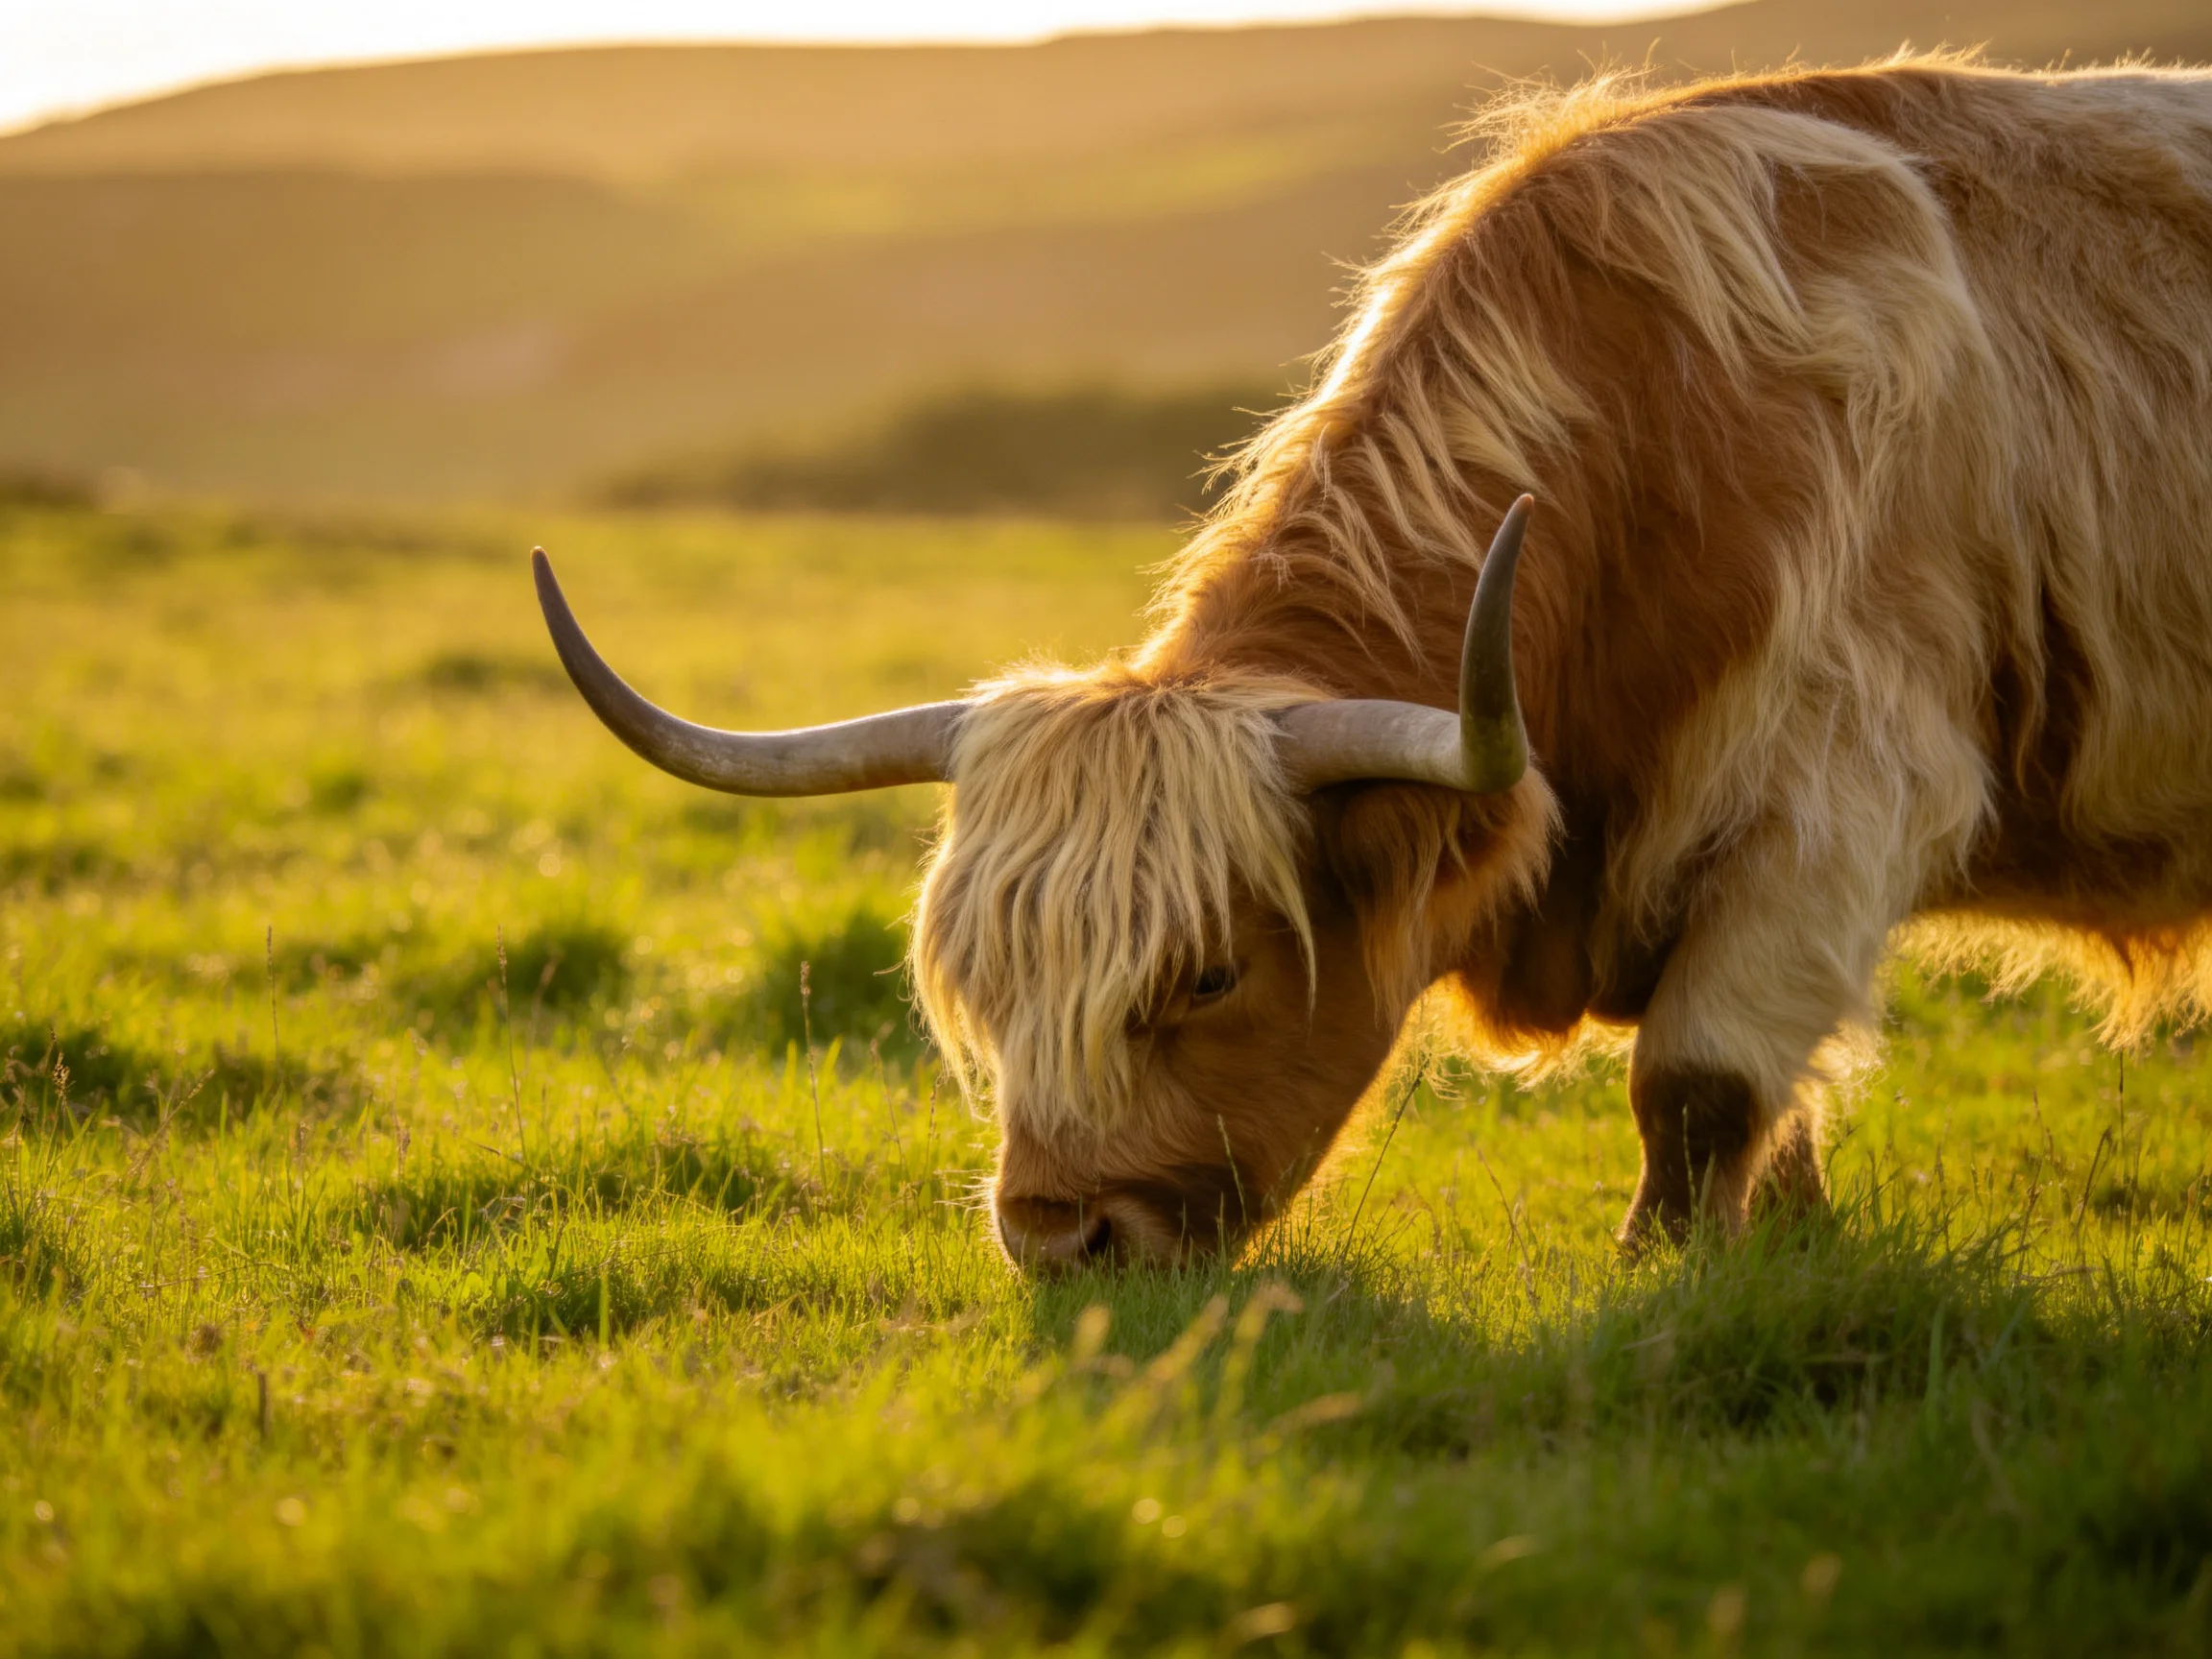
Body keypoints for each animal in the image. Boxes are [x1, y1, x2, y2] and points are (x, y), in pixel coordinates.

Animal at [534, 56, 2212, 1269]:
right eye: (985, 980)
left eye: (1208, 974)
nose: (1060, 1240)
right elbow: (1771, 1116)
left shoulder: (1838, 796)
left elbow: (1700, 1084)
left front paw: (1673, 1277)